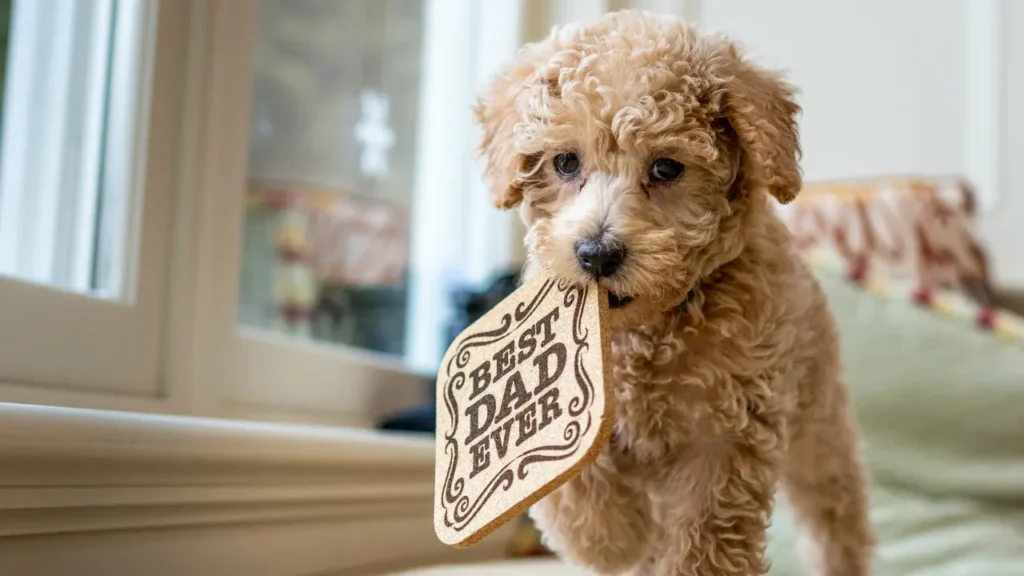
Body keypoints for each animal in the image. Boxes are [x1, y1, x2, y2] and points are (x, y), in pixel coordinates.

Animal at [471, 8, 872, 573]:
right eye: (566, 163)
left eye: (666, 168)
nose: (596, 254)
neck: (649, 330)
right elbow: (574, 477)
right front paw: (612, 539)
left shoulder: (726, 438)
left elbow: (703, 540)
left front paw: (633, 542)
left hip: (820, 429)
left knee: (836, 517)